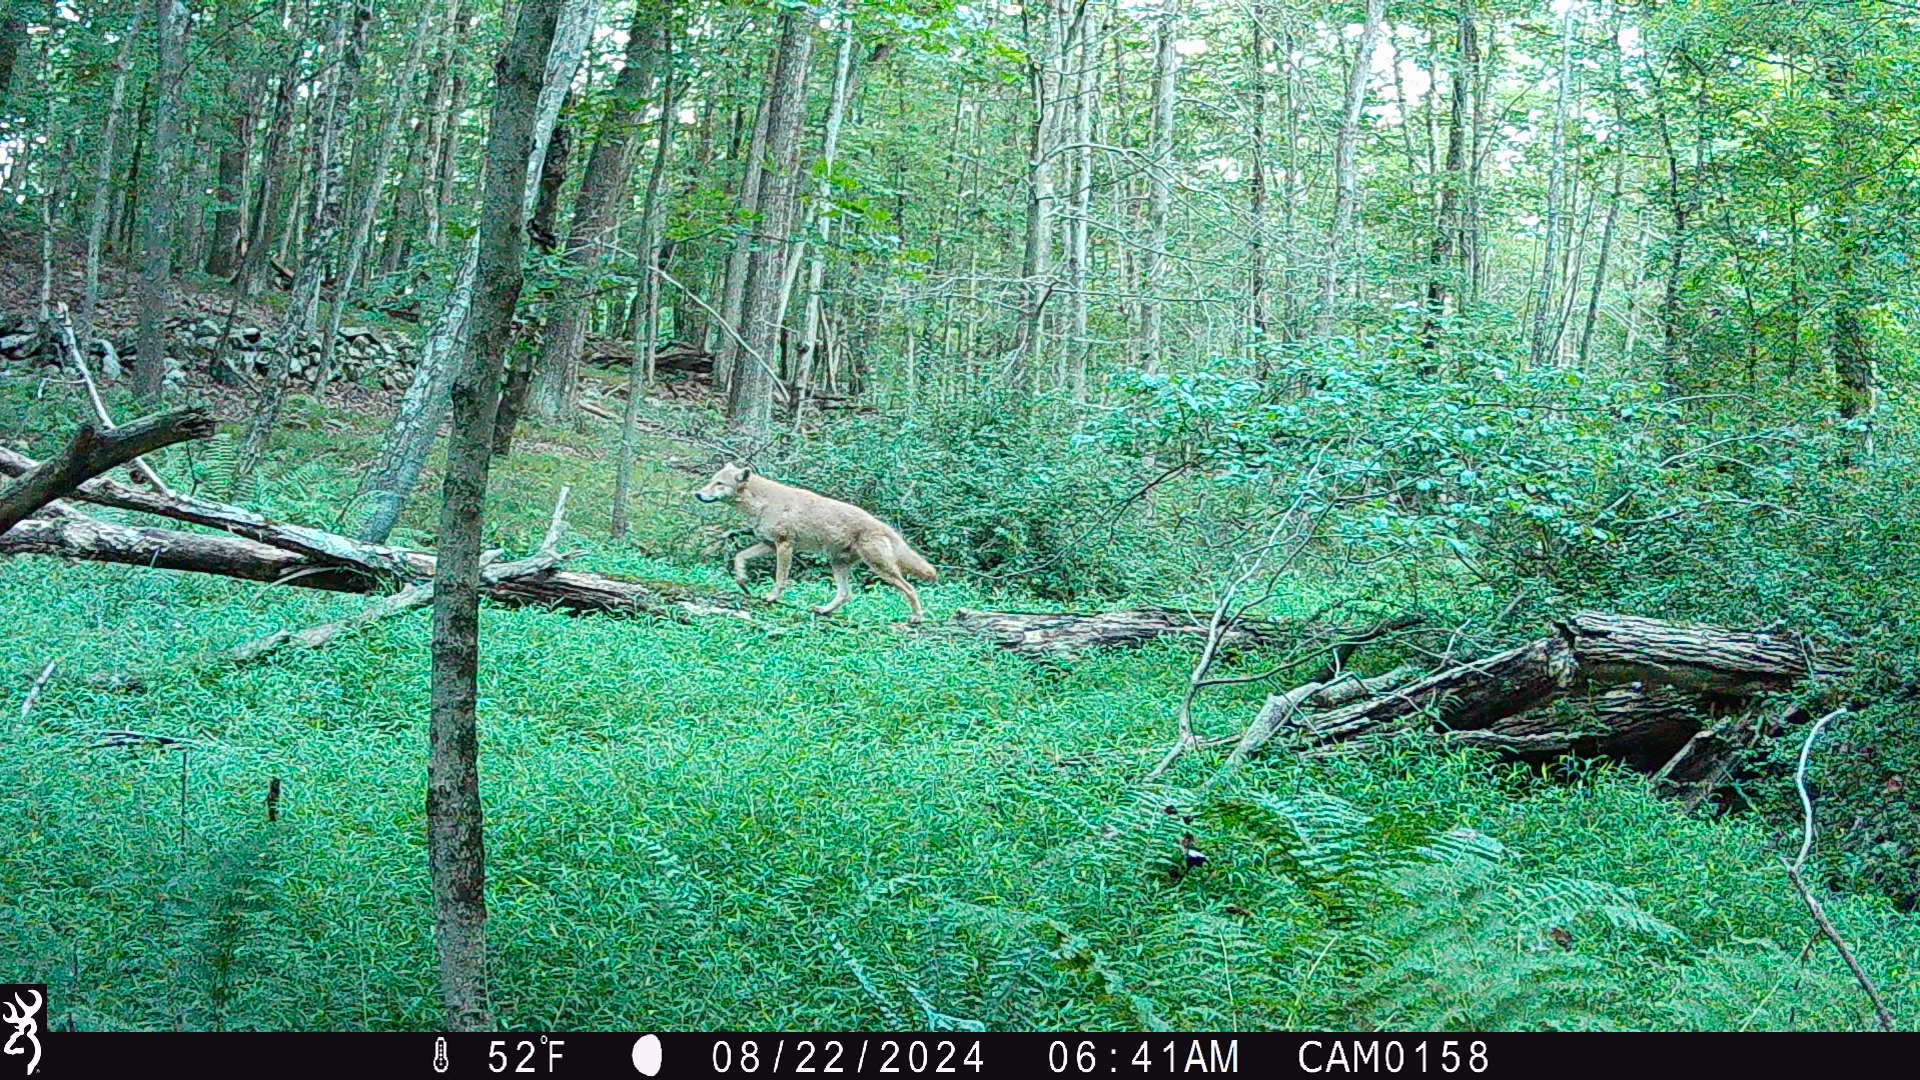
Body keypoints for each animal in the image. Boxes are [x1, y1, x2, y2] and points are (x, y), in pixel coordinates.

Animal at [694, 463, 938, 621]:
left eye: (719, 483)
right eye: (710, 481)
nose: (697, 494)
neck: (763, 503)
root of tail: (885, 527)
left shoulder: (784, 546)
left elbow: (780, 579)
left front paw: (771, 597)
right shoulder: (769, 545)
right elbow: (739, 557)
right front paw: (743, 581)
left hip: (881, 569)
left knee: (910, 588)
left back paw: (917, 618)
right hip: (838, 565)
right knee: (846, 594)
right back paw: (824, 611)